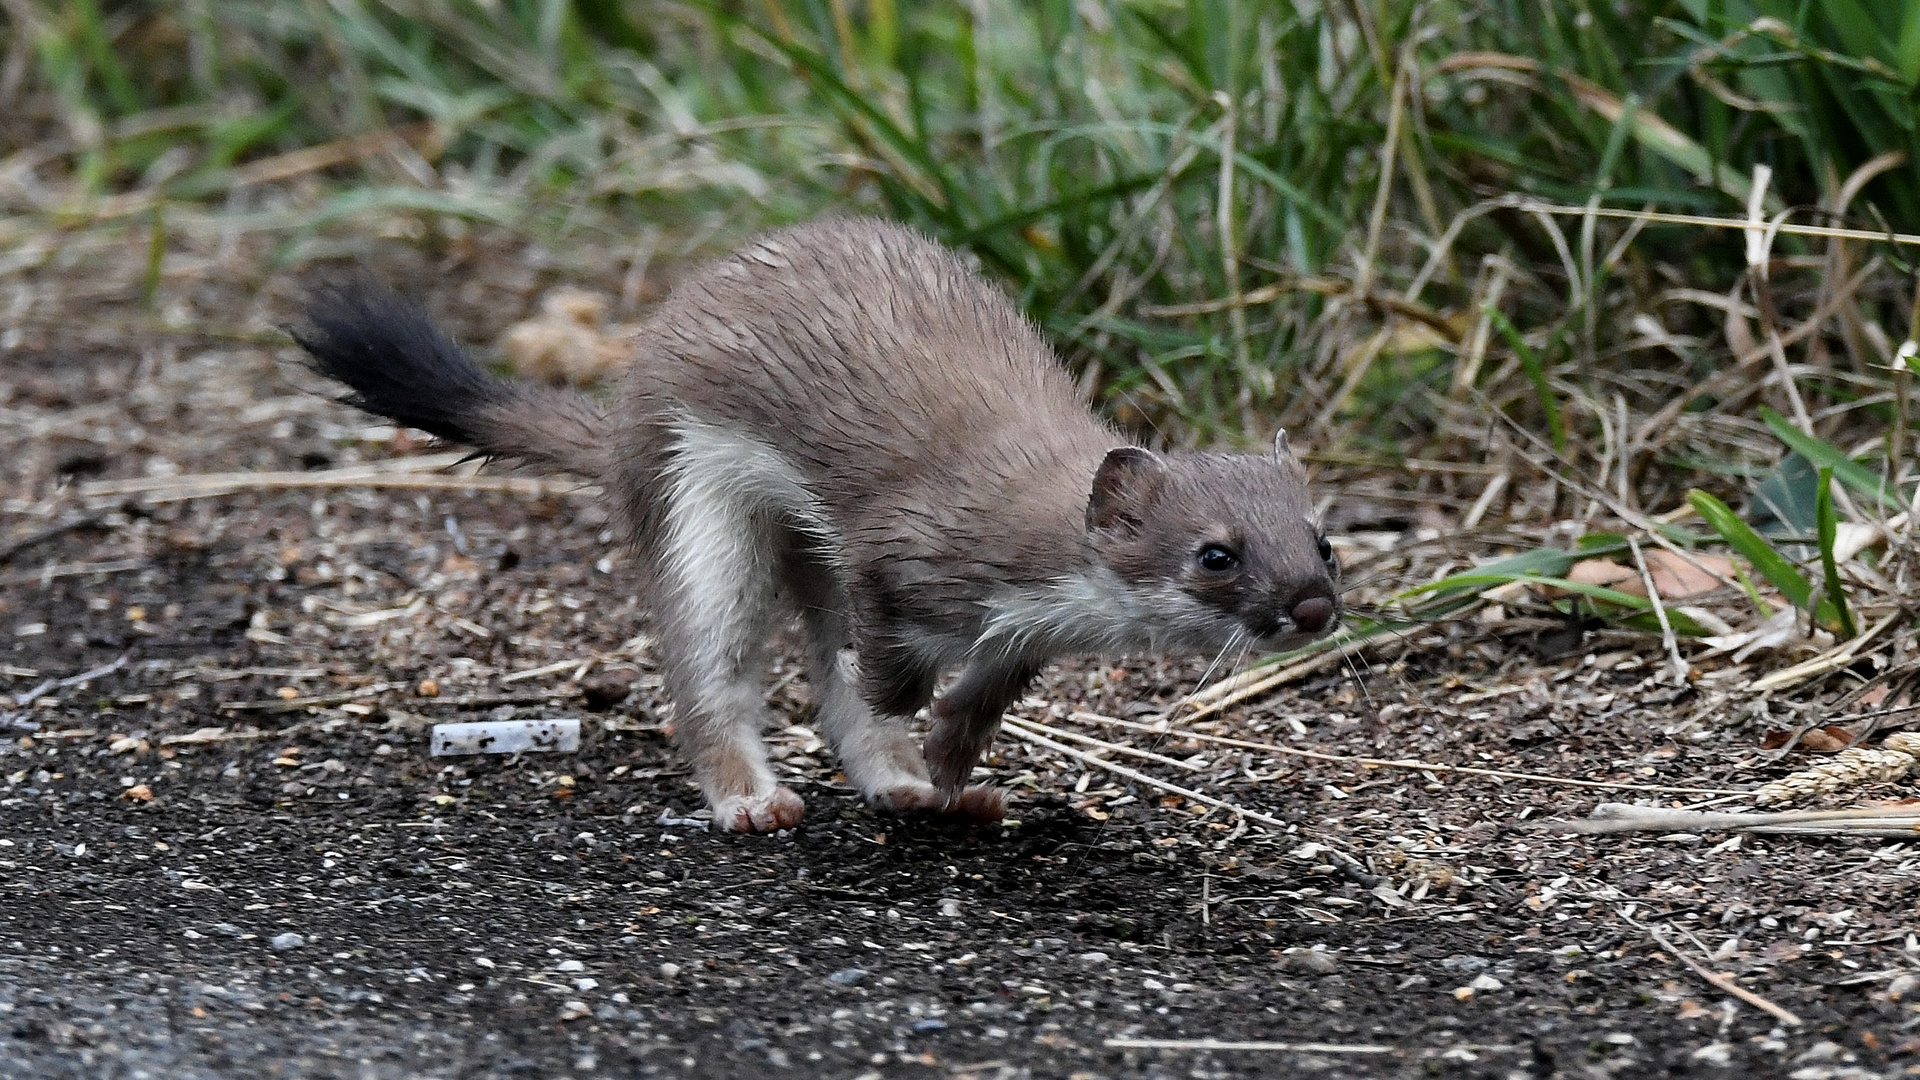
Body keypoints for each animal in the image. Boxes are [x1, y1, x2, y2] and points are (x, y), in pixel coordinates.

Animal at [295, 214, 1336, 826]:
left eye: (1322, 539)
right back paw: (753, 800)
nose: (1315, 606)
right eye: (1216, 553)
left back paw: (916, 790)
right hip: (696, 507)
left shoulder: (1019, 630)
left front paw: (951, 753)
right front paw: (898, 698)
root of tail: (626, 401)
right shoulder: (891, 545)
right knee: (710, 673)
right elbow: (875, 662)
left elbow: (983, 686)